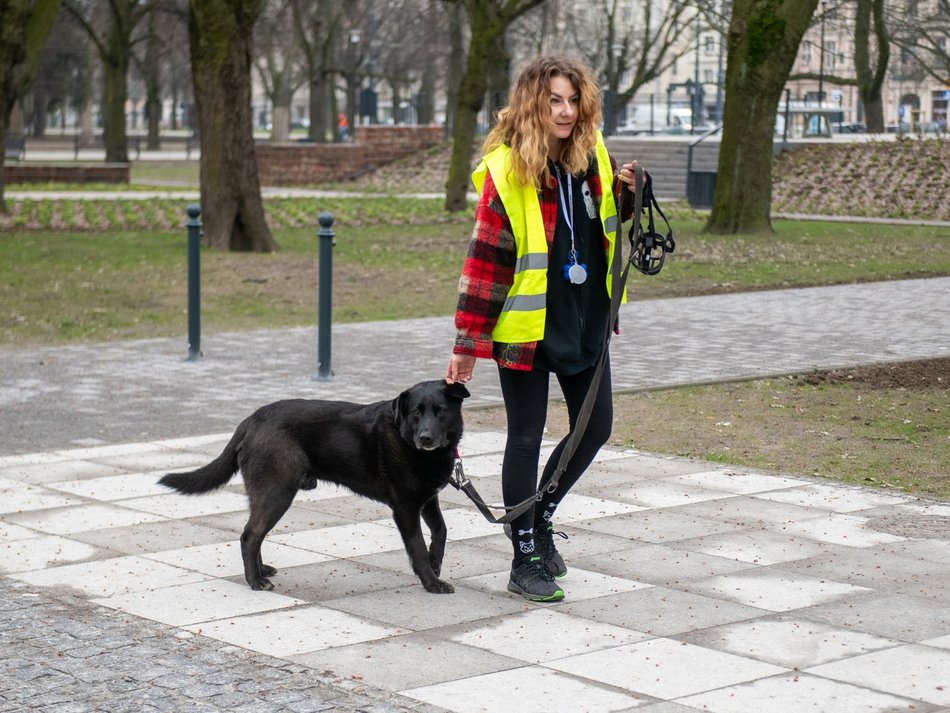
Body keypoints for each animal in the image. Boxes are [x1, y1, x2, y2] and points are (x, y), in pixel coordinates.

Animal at [160, 382, 472, 592]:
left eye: (440, 411)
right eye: (416, 413)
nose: (425, 438)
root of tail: (251, 419)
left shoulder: (427, 498)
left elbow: (441, 530)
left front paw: (435, 562)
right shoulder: (405, 507)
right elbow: (416, 547)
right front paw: (431, 582)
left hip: (266, 494)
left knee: (254, 533)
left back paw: (262, 570)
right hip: (278, 493)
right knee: (250, 535)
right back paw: (255, 581)